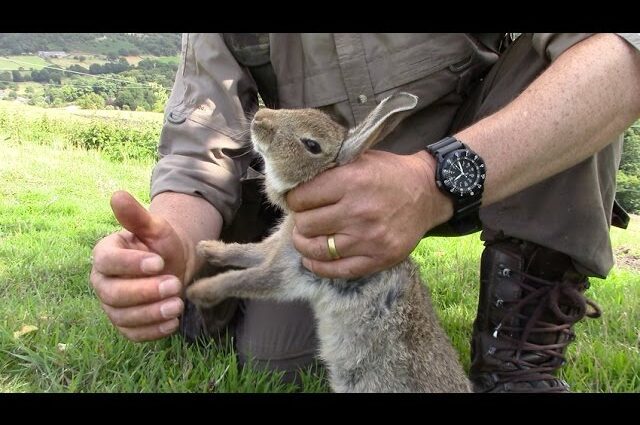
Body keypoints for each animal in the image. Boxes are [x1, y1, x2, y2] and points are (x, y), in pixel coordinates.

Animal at [185, 92, 470, 390]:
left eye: (312, 145)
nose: (260, 118)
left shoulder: (292, 271)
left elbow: (248, 279)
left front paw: (201, 290)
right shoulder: (276, 249)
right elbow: (247, 252)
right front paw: (208, 248)